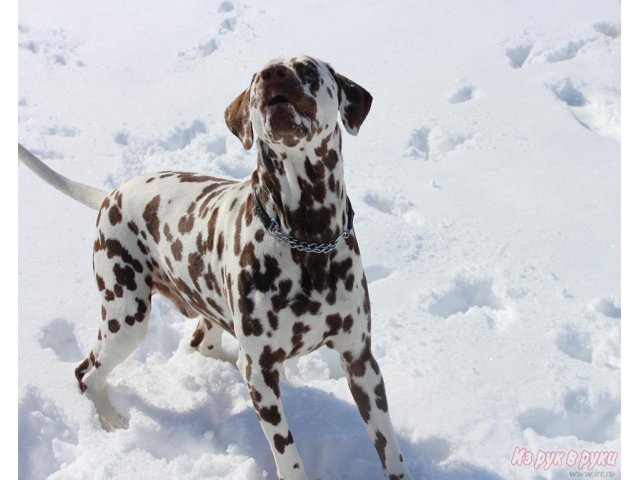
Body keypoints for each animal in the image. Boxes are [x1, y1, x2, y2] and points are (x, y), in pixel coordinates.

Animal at [20, 56, 412, 480]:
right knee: (87, 374)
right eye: (257, 77)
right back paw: (111, 420)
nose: (273, 73)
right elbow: (288, 456)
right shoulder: (262, 372)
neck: (307, 238)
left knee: (203, 344)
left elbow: (389, 447)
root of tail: (111, 194)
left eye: (307, 69)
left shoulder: (360, 362)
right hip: (125, 318)